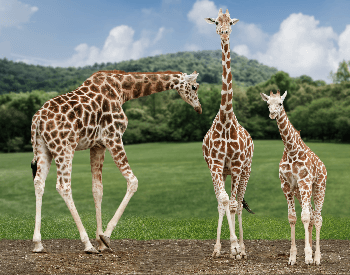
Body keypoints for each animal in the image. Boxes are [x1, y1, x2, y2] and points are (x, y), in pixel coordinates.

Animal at [31, 69, 204, 254]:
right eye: (195, 87)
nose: (199, 108)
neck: (122, 89)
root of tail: (37, 121)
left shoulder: (98, 145)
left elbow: (97, 189)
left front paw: (100, 240)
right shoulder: (113, 136)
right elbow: (133, 181)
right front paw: (105, 238)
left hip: (44, 148)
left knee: (39, 182)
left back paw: (38, 243)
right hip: (64, 148)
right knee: (63, 186)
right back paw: (87, 244)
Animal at [262, 90, 326, 266]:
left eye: (280, 103)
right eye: (268, 103)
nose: (272, 114)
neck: (291, 151)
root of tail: (324, 167)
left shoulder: (304, 182)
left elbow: (304, 217)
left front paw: (309, 257)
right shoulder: (286, 186)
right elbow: (293, 218)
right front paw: (293, 257)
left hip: (319, 187)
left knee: (317, 218)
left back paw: (317, 258)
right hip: (300, 192)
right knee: (312, 215)